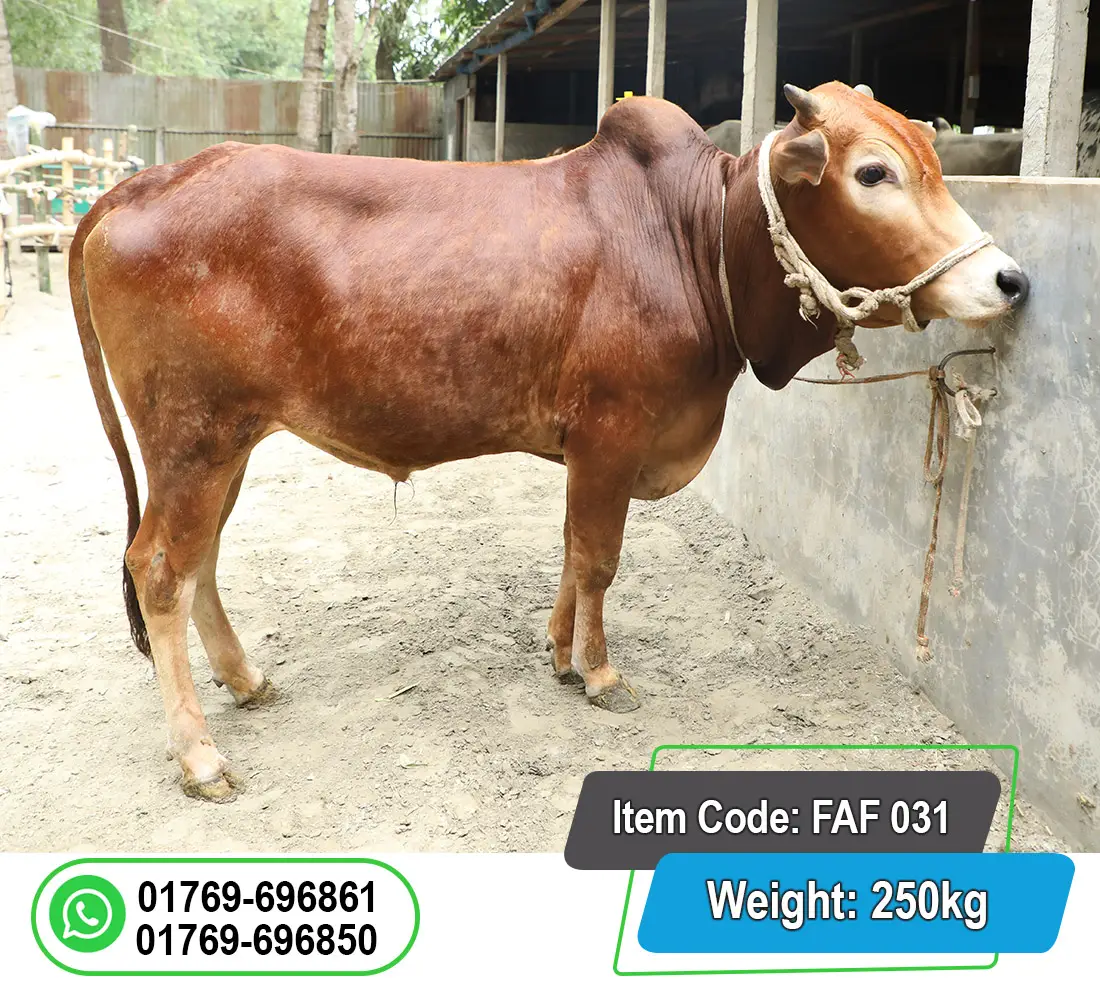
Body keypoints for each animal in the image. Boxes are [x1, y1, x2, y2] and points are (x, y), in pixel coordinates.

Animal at [71, 82, 1028, 801]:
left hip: (223, 444)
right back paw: (200, 757)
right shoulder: (613, 431)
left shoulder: (586, 447)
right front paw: (600, 675)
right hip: (193, 440)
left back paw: (247, 681)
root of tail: (138, 185)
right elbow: (598, 558)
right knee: (160, 570)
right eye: (873, 172)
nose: (1009, 278)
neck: (692, 241)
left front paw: (561, 652)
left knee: (199, 563)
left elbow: (570, 551)